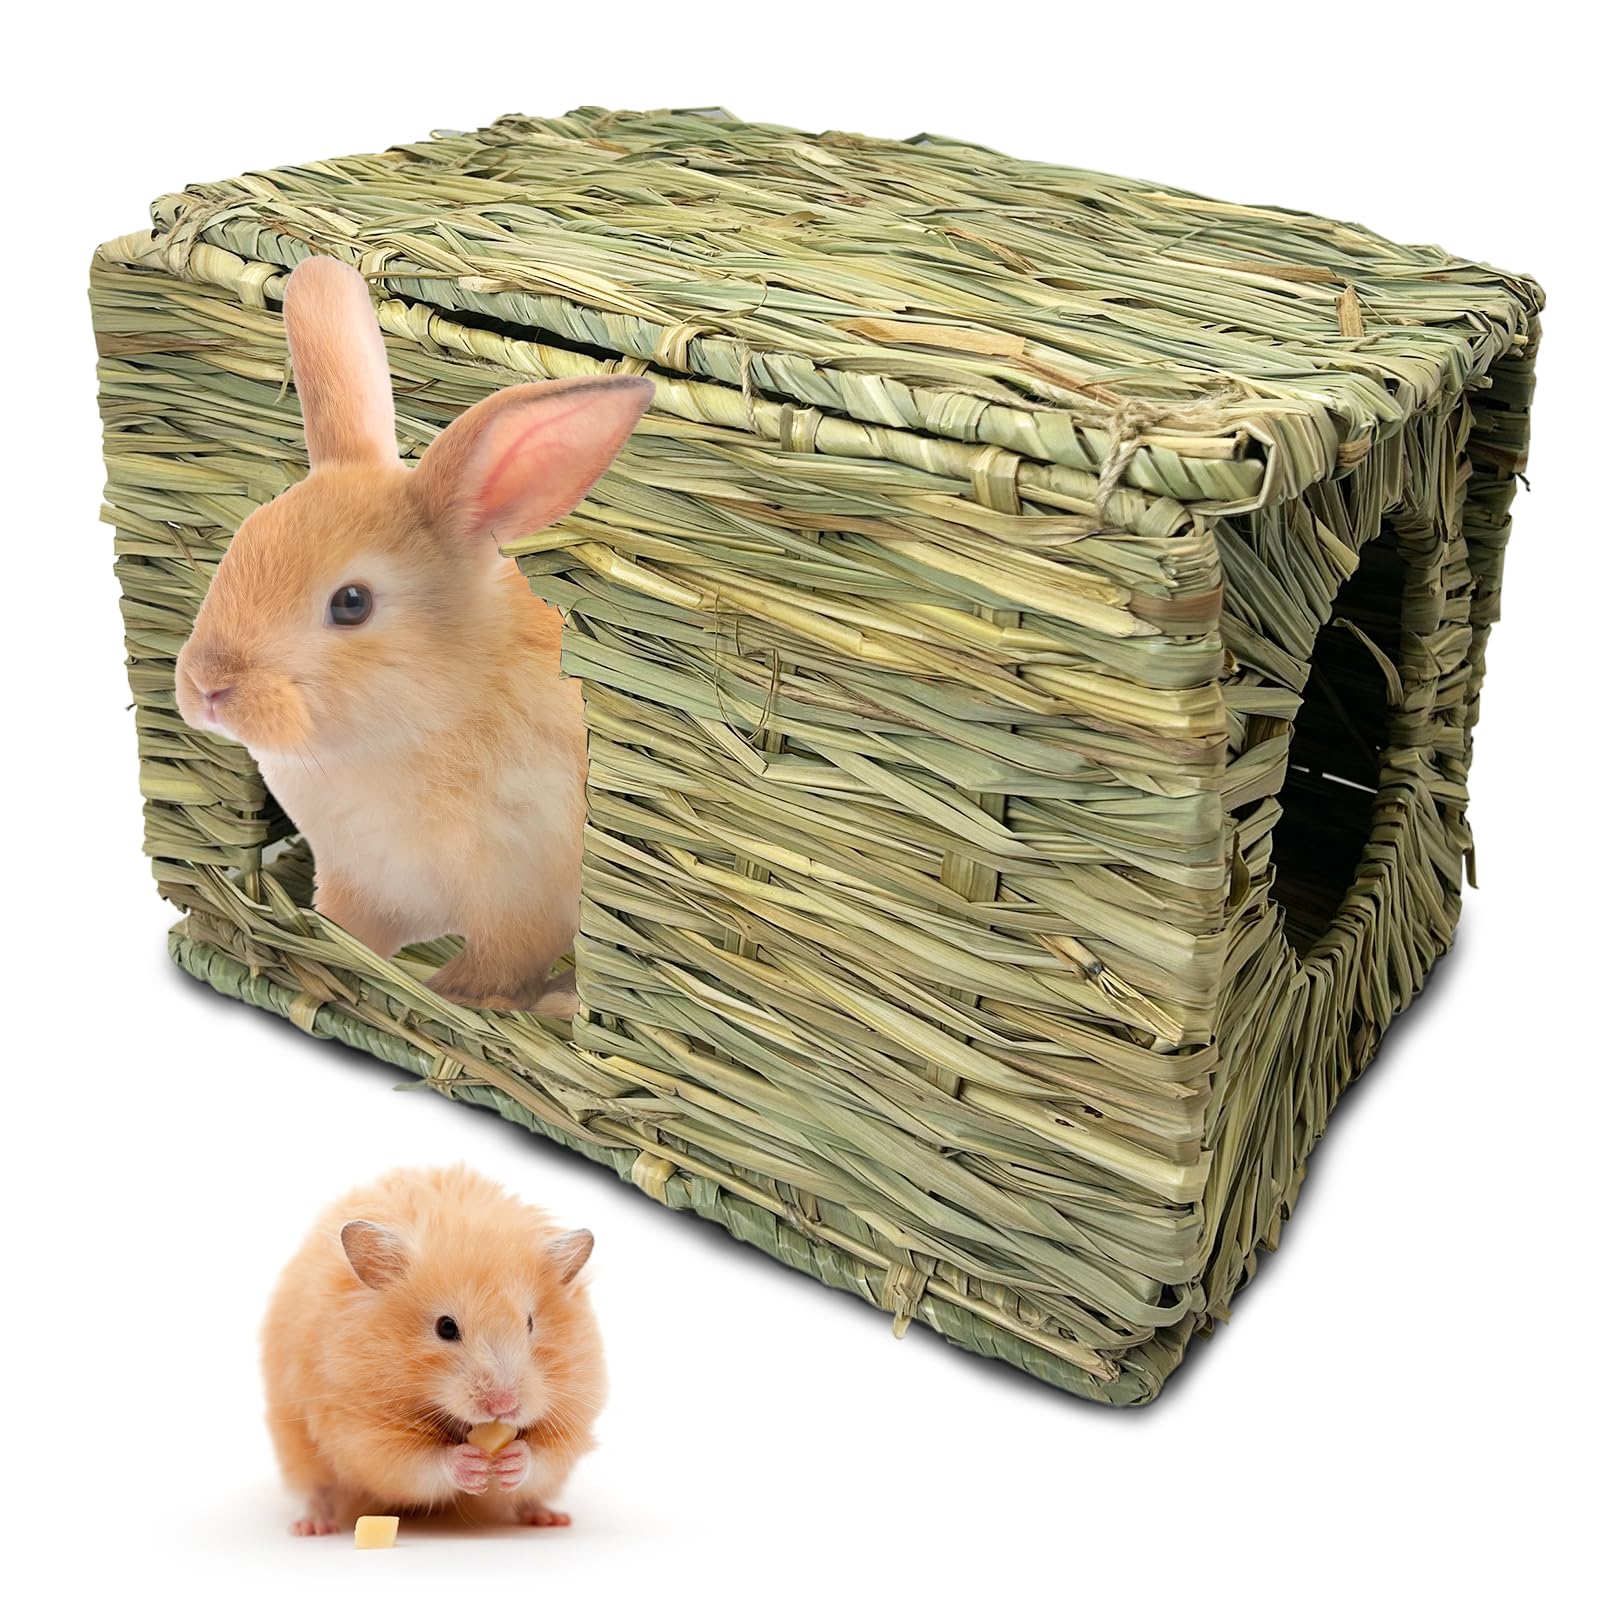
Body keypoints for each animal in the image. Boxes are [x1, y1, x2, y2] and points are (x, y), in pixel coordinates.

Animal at [174, 256, 652, 1013]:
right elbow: (351, 929)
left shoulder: (520, 902)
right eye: (242, 539)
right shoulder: (361, 878)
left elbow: (496, 969)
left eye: (351, 603)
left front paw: (457, 997)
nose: (209, 686)